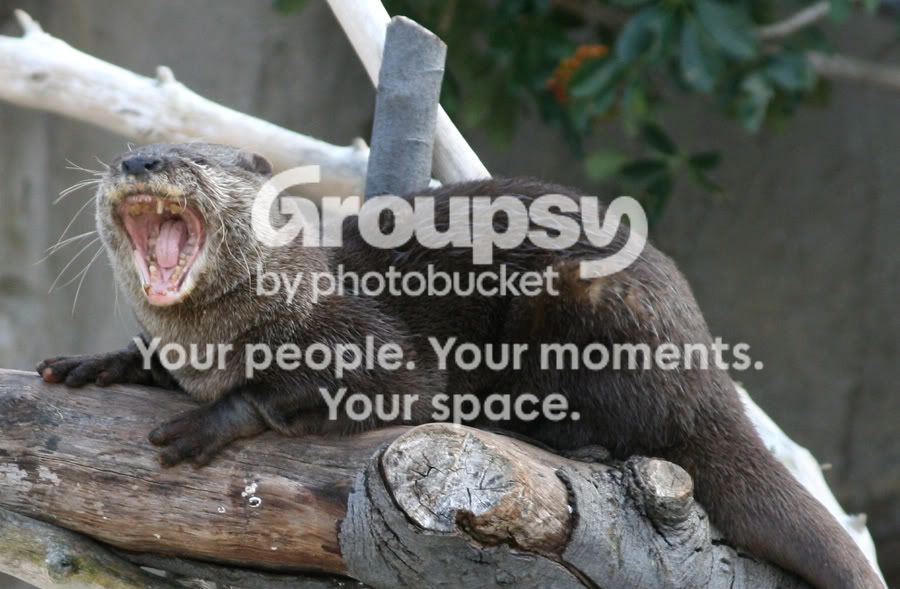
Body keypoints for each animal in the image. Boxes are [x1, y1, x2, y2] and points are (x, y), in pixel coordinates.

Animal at [37, 143, 881, 588]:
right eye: (140, 147)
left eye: (194, 158)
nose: (139, 158)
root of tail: (708, 371)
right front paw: (97, 362)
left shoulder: (373, 343)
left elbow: (324, 386)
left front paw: (209, 420)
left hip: (586, 299)